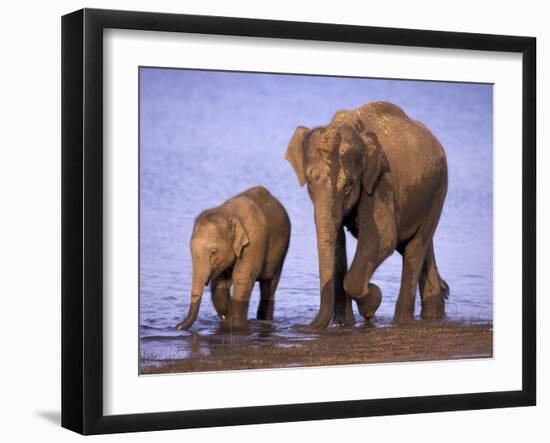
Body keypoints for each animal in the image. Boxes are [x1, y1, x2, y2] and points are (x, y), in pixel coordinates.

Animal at [177, 186, 292, 332]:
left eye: (213, 252)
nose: (177, 327)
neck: (227, 213)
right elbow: (220, 285)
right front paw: (227, 320)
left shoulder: (253, 242)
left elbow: (242, 279)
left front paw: (236, 326)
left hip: (281, 251)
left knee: (269, 287)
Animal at [286, 101, 450, 330]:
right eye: (309, 181)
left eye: (349, 185)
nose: (302, 328)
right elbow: (338, 244)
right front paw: (345, 324)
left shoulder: (380, 180)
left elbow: (383, 237)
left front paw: (372, 301)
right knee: (419, 246)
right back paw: (434, 315)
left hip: (439, 189)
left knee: (415, 247)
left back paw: (401, 321)